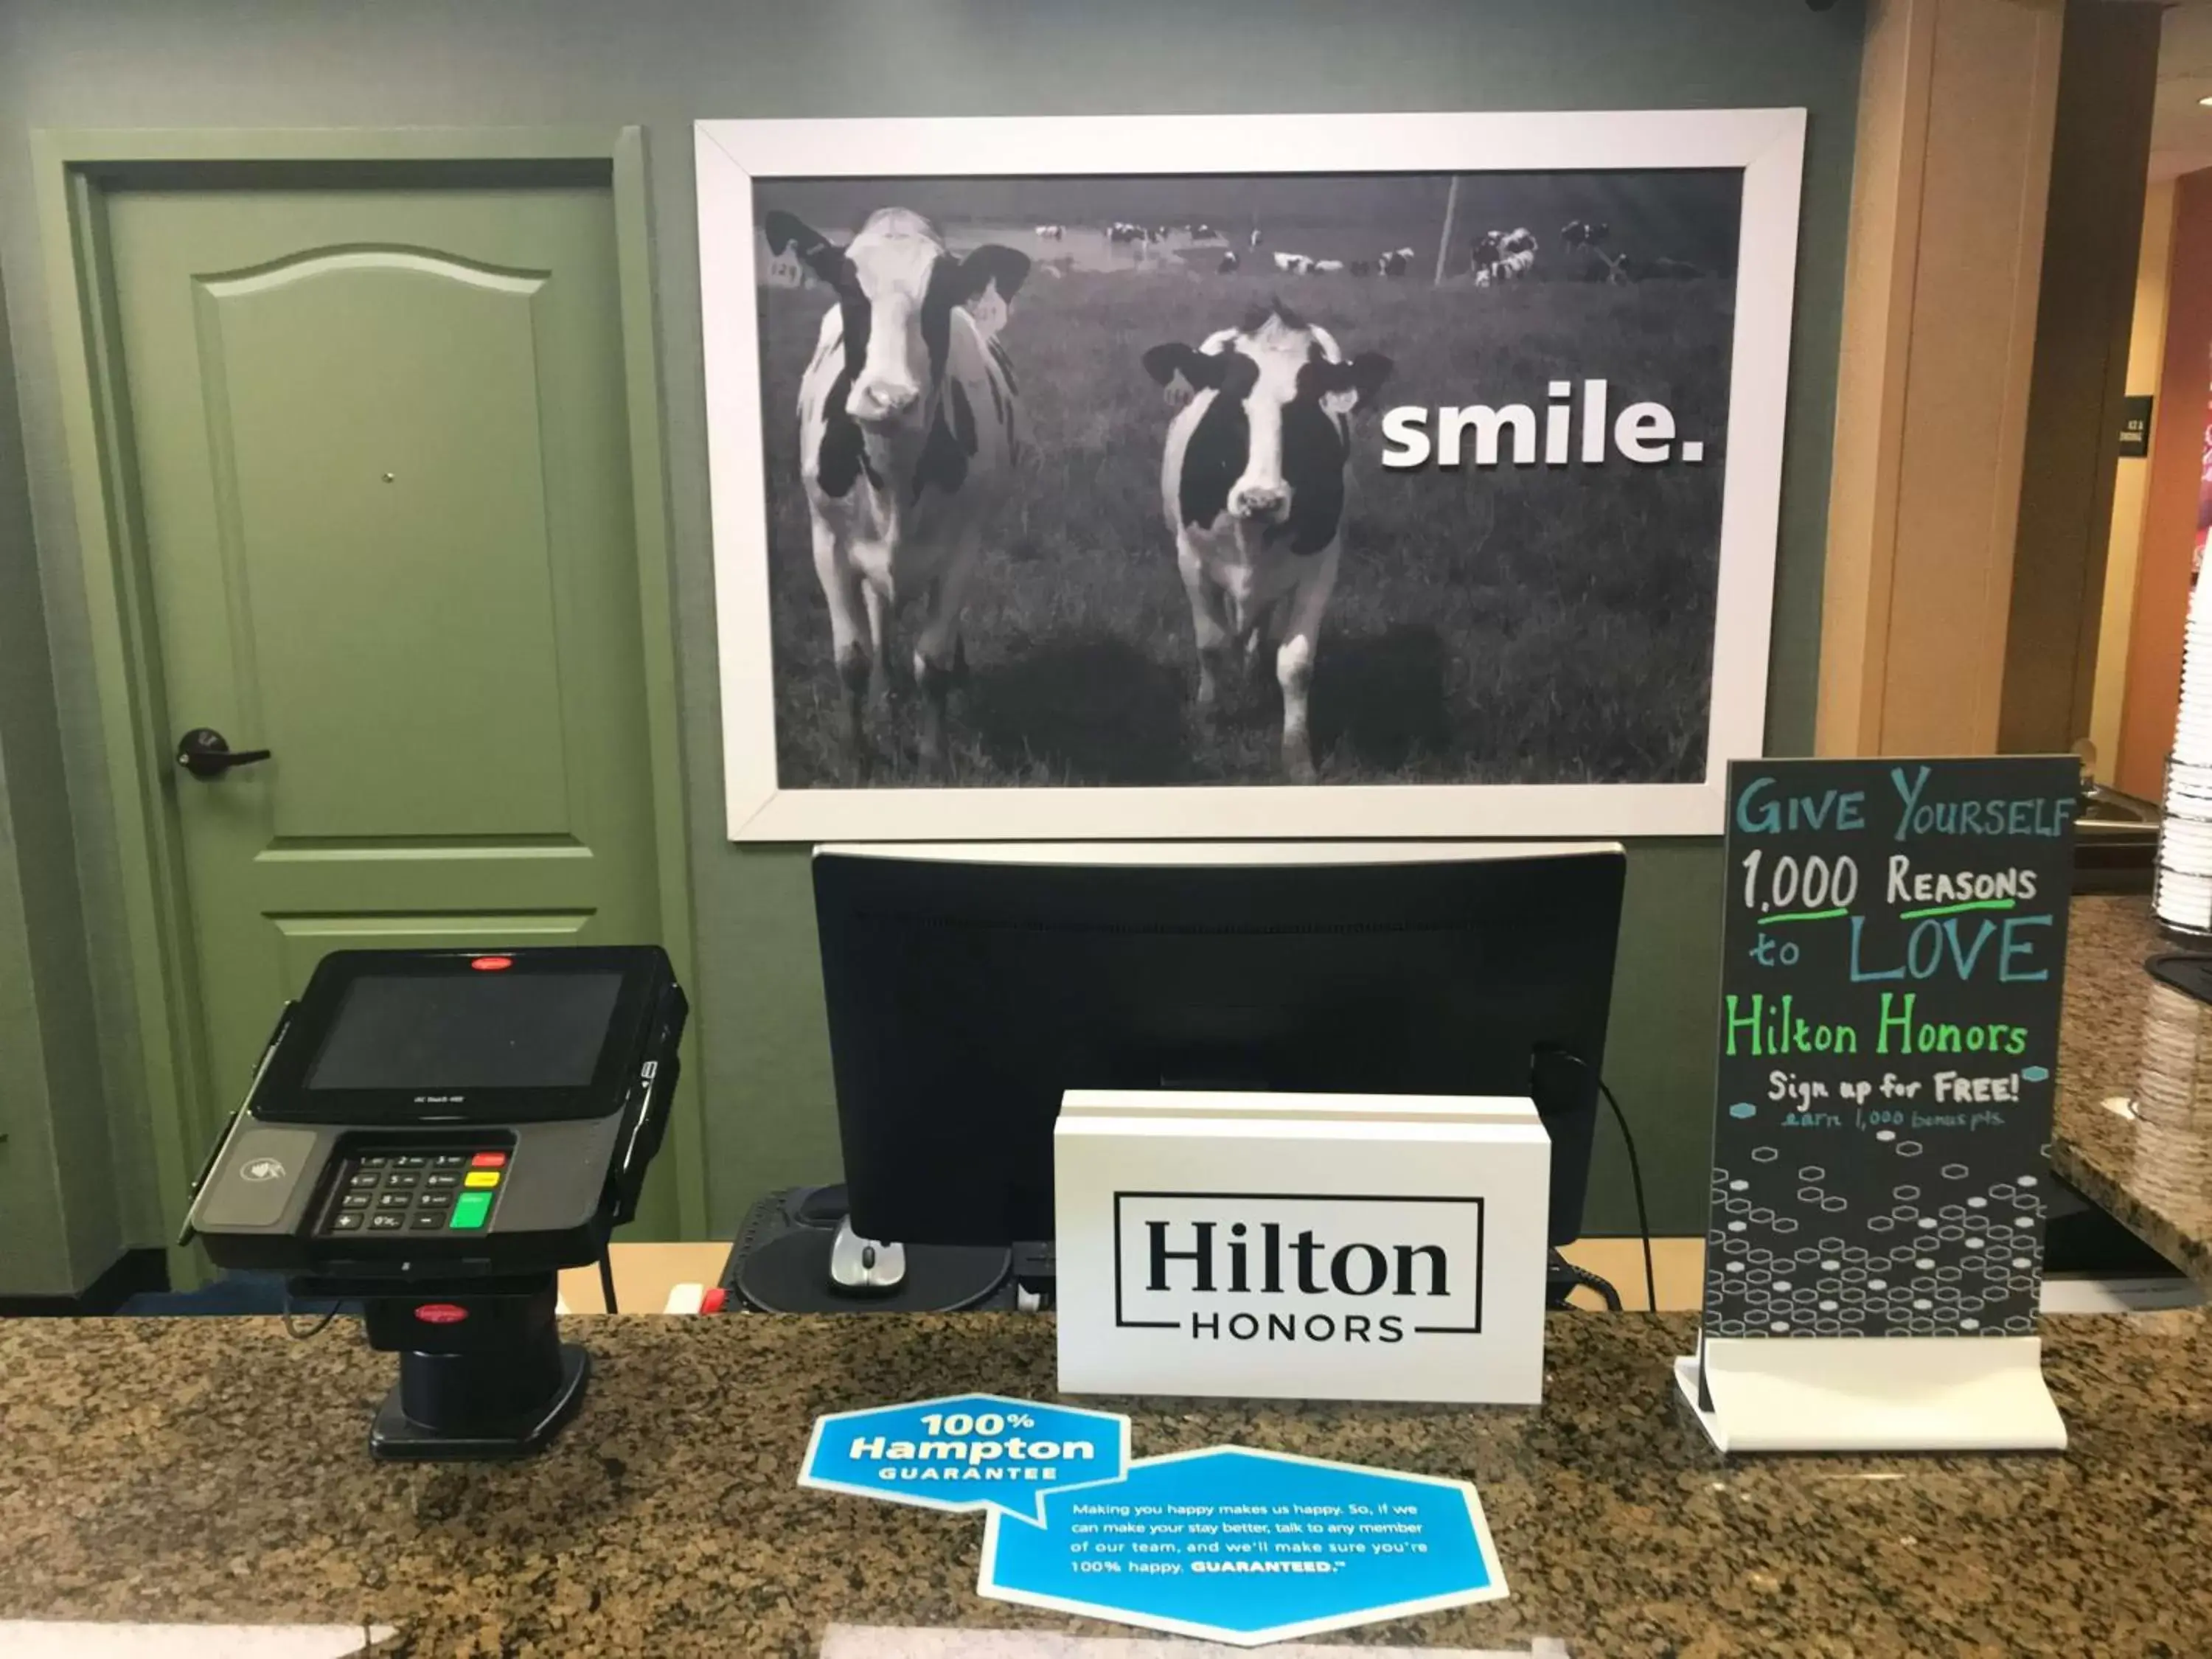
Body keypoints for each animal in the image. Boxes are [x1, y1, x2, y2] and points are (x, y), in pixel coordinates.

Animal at [765, 211, 1031, 779]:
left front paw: (931, 756)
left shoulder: (962, 549)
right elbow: (852, 656)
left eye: (943, 294)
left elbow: (932, 660)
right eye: (848, 288)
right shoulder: (827, 541)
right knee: (879, 618)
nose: (889, 398)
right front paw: (857, 752)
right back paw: (885, 692)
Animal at [1150, 301, 1389, 787]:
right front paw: (1208, 718)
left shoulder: (1322, 563)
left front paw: (1298, 758)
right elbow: (1211, 643)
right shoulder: (1191, 556)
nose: (1262, 499)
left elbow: (1295, 664)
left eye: (1307, 410)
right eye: (1228, 403)